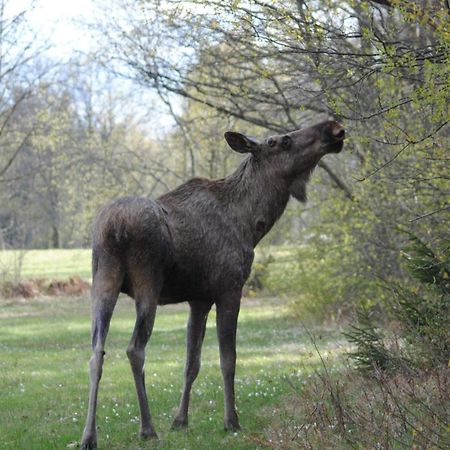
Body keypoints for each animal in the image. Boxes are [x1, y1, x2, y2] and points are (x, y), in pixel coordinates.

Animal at [81, 118, 346, 446]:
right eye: (282, 141)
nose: (333, 128)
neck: (252, 224)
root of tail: (114, 228)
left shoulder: (199, 299)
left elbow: (191, 363)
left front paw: (180, 420)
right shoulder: (229, 289)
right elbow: (227, 360)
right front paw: (231, 421)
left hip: (102, 280)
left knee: (96, 352)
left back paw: (89, 436)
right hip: (147, 284)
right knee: (134, 349)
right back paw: (147, 428)